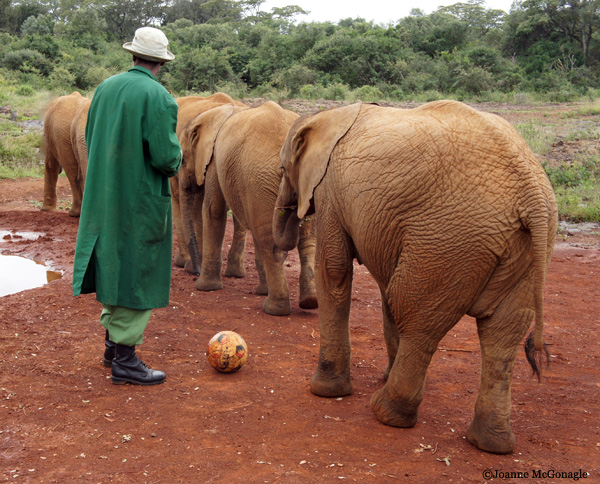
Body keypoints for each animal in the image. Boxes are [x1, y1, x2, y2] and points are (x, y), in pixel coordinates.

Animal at [179, 100, 316, 316]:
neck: (213, 113)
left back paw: (274, 309)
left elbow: (213, 210)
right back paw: (309, 302)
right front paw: (261, 290)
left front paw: (205, 287)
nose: (194, 271)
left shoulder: (215, 160)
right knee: (306, 240)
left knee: (272, 244)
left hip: (259, 180)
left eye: (183, 161)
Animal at [272, 99, 556, 454]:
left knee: (420, 321)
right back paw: (491, 444)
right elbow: (385, 292)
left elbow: (335, 272)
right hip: (521, 249)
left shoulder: (331, 194)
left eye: (283, 169)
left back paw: (386, 413)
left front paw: (324, 391)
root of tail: (531, 192)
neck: (327, 116)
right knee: (501, 335)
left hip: (448, 242)